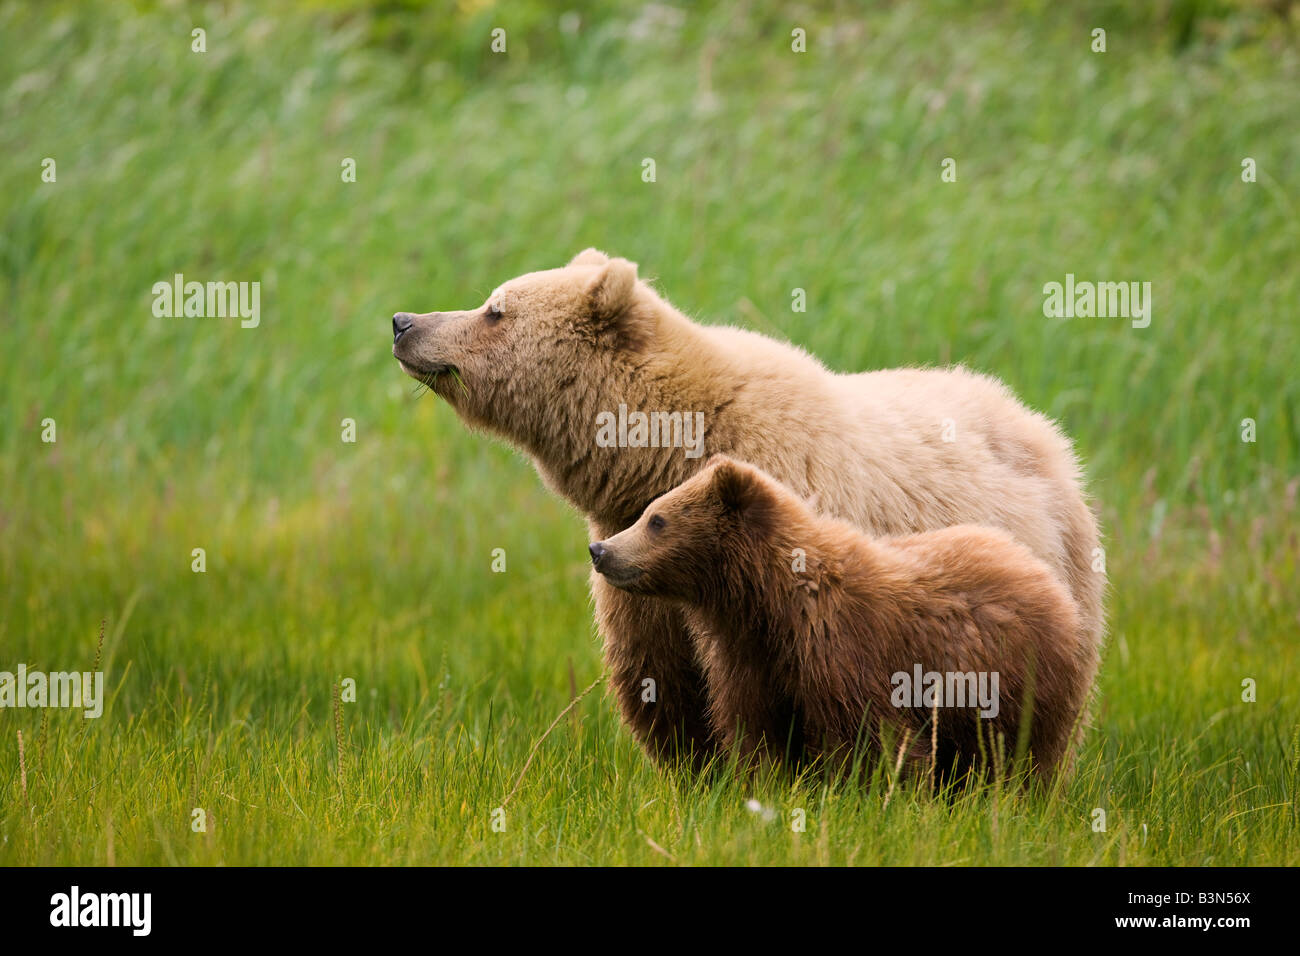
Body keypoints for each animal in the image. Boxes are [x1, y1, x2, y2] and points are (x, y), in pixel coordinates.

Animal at [590, 455, 1086, 780]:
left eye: (657, 519)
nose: (600, 549)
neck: (768, 606)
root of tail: (1038, 570)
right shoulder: (751, 660)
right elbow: (757, 733)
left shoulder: (848, 650)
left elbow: (874, 738)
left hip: (1019, 679)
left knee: (1024, 754)